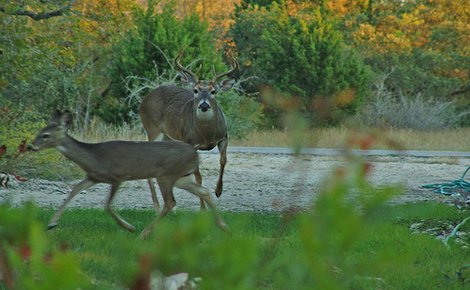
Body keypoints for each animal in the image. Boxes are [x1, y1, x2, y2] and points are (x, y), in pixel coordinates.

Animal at [28, 110, 230, 239]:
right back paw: (224, 227)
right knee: (203, 191)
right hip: (181, 177)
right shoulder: (93, 176)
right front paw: (52, 223)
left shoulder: (117, 176)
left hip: (166, 175)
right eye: (39, 132)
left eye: (45, 135)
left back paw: (143, 234)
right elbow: (74, 190)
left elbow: (107, 205)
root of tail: (195, 152)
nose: (30, 146)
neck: (93, 157)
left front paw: (129, 227)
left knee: (170, 202)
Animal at [138, 52, 237, 211]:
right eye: (195, 90)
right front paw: (203, 209)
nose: (204, 105)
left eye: (213, 91)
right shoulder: (190, 142)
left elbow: (223, 161)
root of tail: (145, 99)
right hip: (152, 129)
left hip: (168, 138)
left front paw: (218, 190)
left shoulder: (224, 137)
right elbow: (198, 177)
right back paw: (157, 206)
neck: (207, 135)